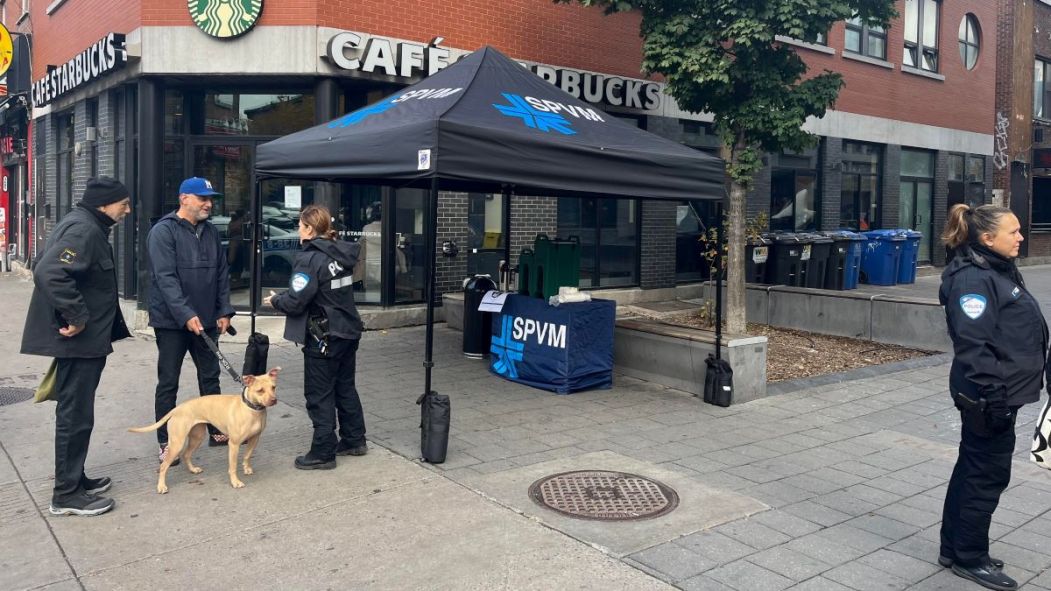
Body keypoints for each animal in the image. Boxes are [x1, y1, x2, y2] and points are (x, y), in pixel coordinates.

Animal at [129, 365, 281, 490]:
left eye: (273, 387)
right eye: (260, 390)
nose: (274, 400)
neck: (252, 409)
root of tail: (177, 409)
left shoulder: (255, 438)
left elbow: (247, 455)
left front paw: (246, 468)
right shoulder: (234, 444)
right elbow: (232, 466)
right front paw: (235, 482)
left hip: (197, 437)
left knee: (186, 454)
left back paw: (192, 469)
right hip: (177, 443)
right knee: (163, 466)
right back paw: (161, 486)